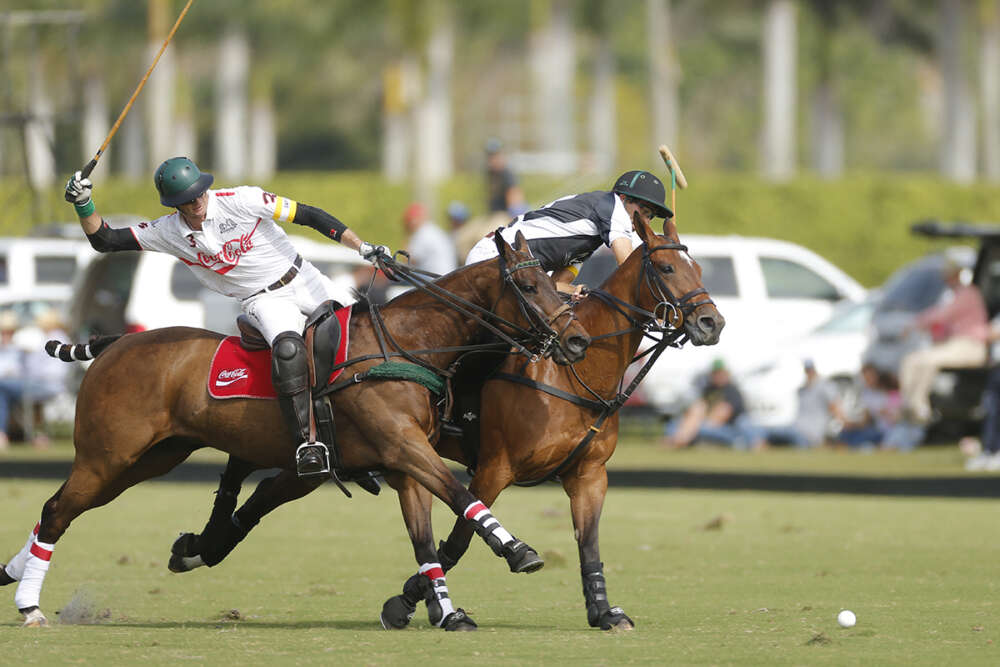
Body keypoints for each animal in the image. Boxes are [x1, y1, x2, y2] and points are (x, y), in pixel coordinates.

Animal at [1, 232, 584, 628]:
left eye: (554, 282)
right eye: (528, 285)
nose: (576, 342)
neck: (405, 344)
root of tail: (116, 341)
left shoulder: (403, 461)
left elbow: (425, 538)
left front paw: (447, 612)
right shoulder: (403, 446)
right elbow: (463, 494)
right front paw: (518, 551)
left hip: (149, 458)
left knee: (62, 510)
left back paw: (14, 575)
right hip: (107, 454)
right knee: (57, 508)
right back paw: (29, 605)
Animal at [168, 210, 724, 632]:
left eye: (699, 268)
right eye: (667, 268)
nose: (711, 322)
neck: (577, 375)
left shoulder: (589, 475)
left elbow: (588, 545)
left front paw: (605, 612)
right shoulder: (496, 466)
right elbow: (456, 538)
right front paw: (406, 602)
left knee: (266, 490)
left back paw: (198, 547)